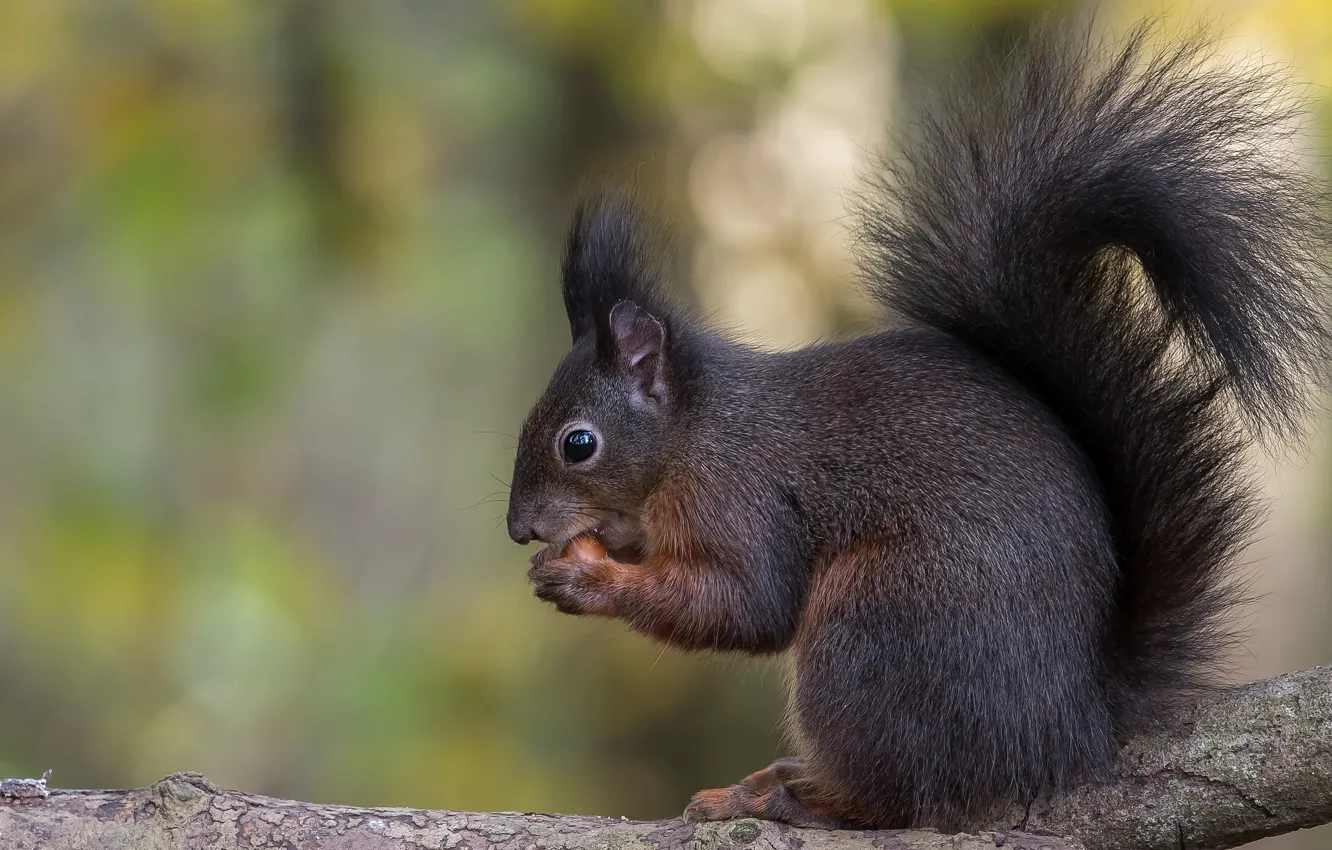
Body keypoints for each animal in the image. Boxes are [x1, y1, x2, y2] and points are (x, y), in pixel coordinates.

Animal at [504, 20, 1329, 831]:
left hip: (876, 629)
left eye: (579, 444)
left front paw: (589, 577)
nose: (519, 528)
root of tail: (1068, 723)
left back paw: (785, 798)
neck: (692, 433)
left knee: (896, 790)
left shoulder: (739, 496)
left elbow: (745, 604)